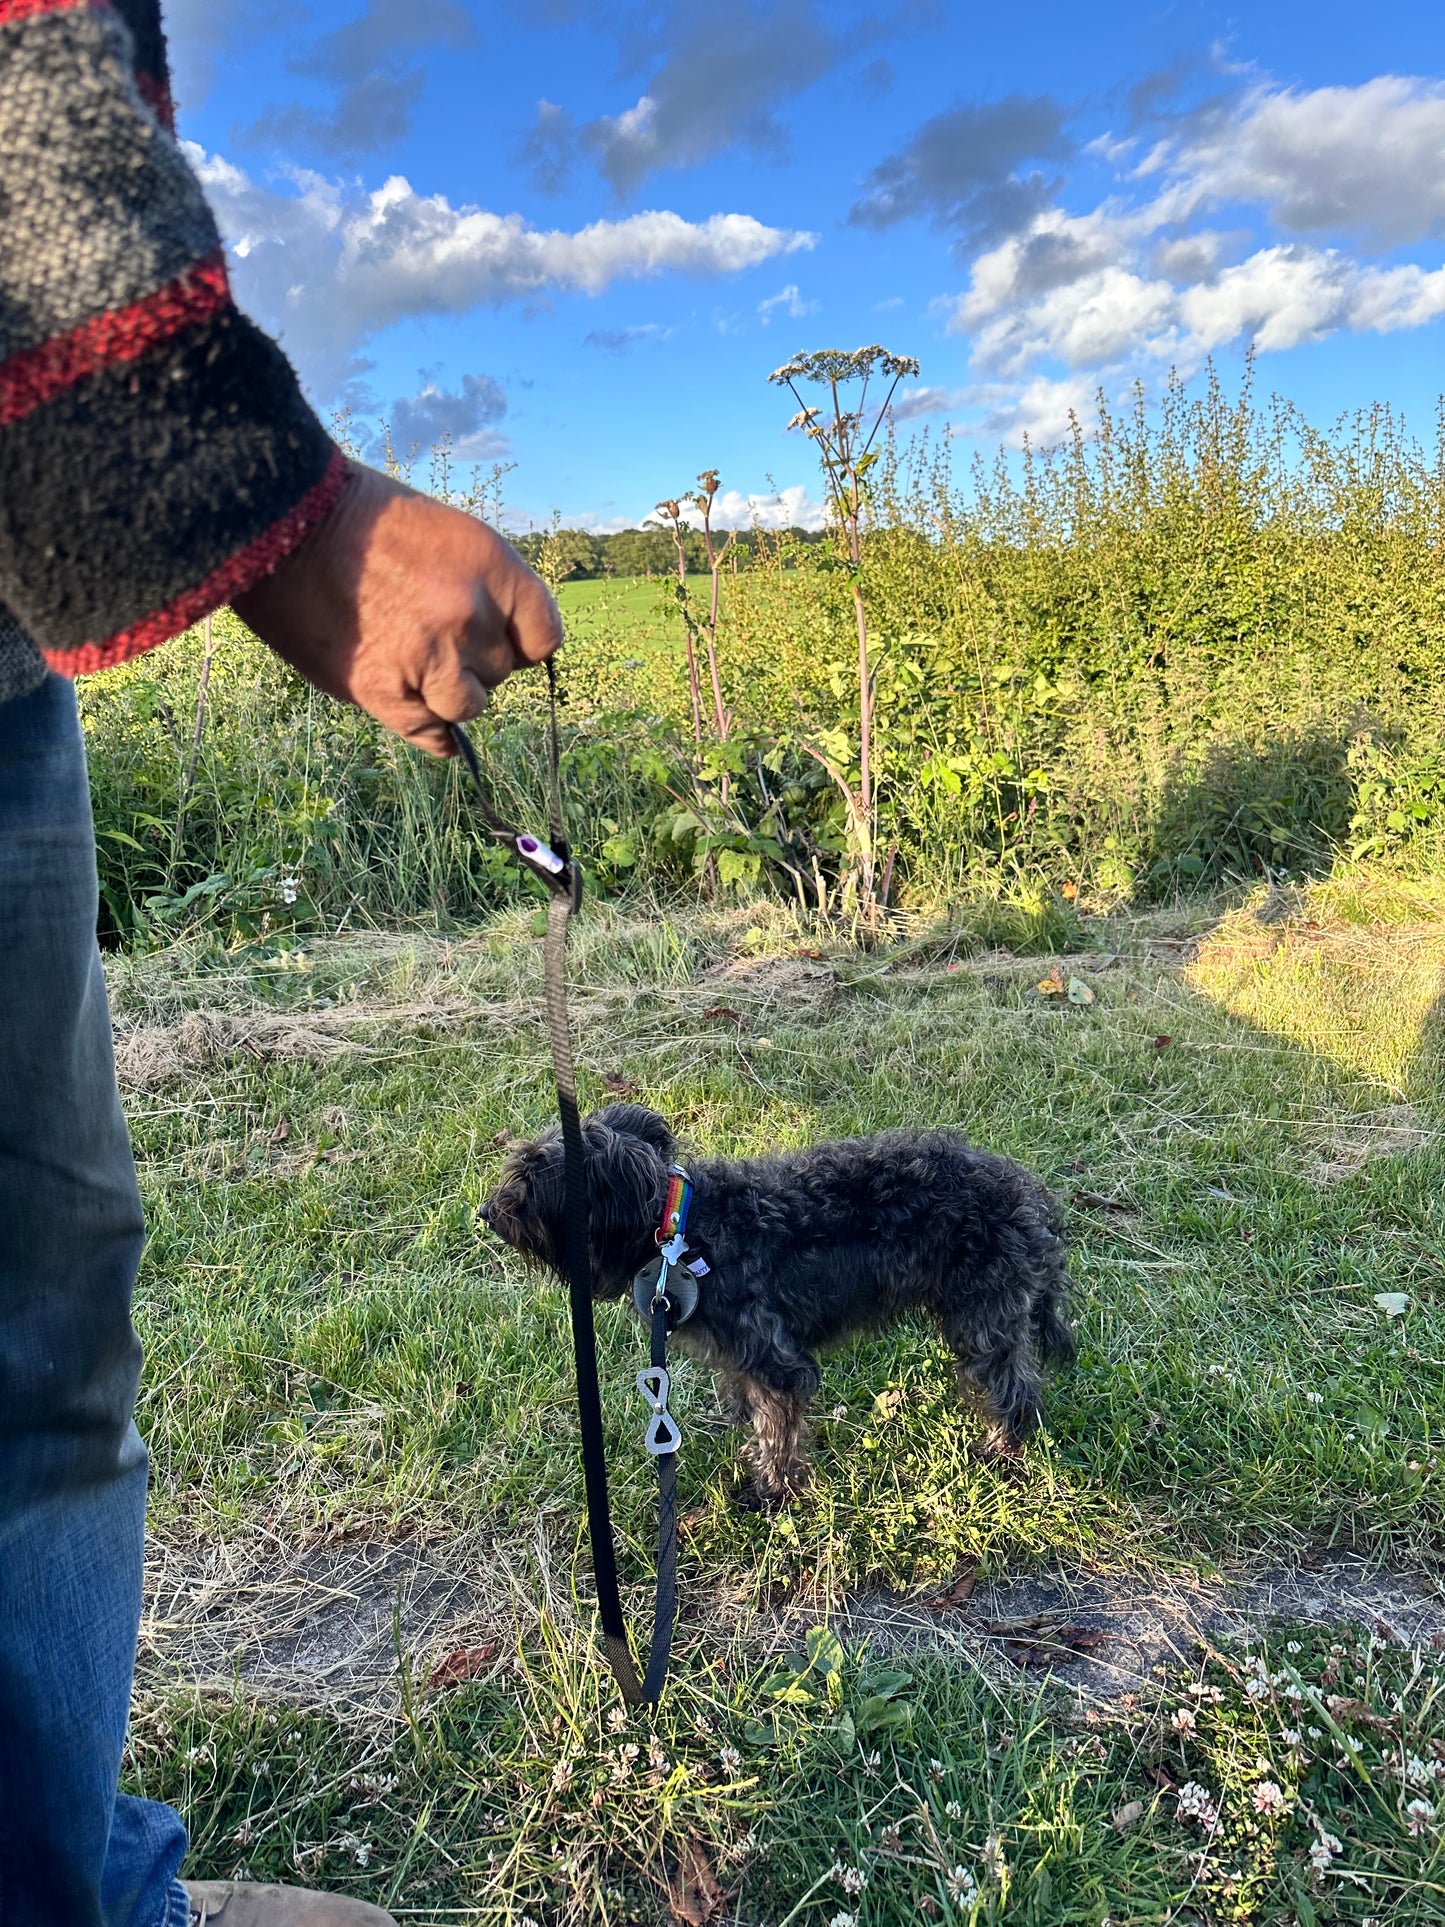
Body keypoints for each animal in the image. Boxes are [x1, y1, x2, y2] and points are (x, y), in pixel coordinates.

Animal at [487, 1102, 1078, 1503]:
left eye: (531, 1180)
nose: (486, 1212)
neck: (682, 1227)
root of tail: (1030, 1198)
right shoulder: (738, 1359)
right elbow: (746, 1406)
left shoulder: (776, 1361)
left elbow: (777, 1429)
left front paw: (771, 1491)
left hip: (984, 1317)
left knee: (1015, 1388)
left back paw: (1001, 1453)